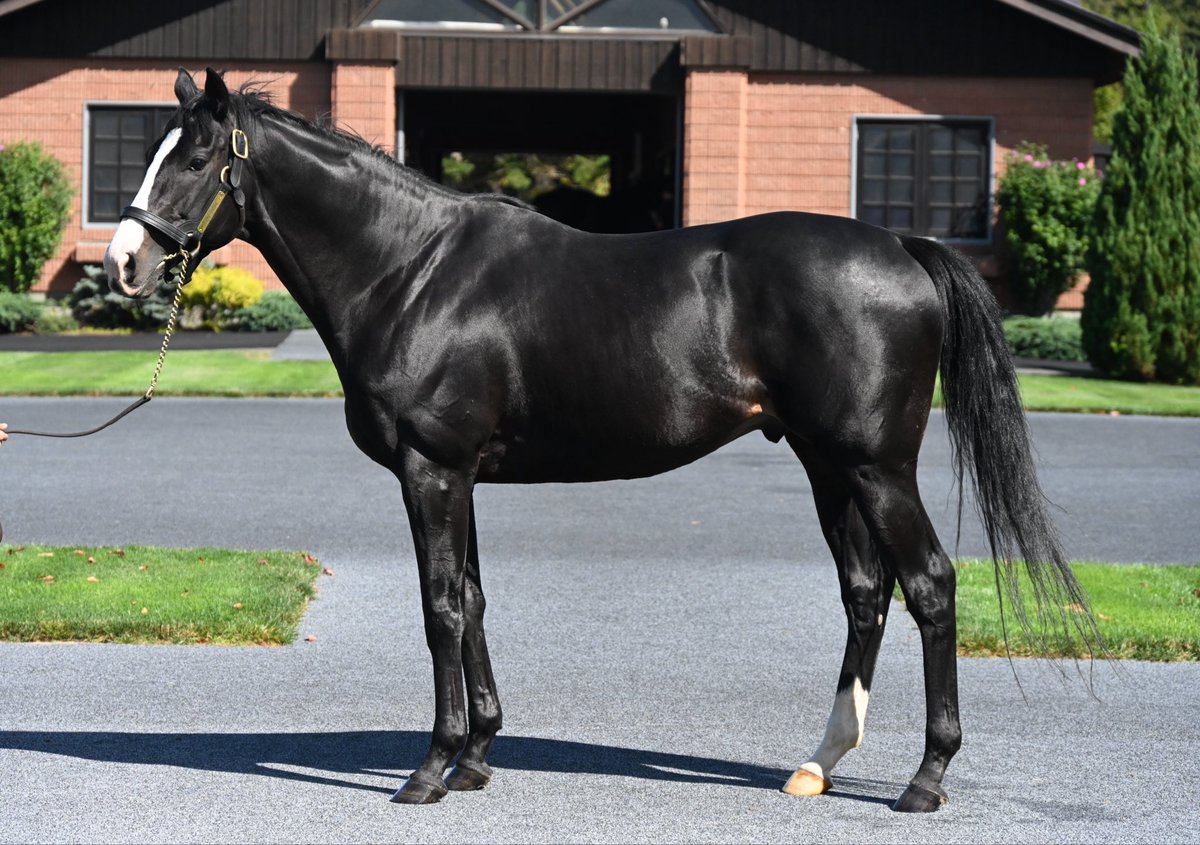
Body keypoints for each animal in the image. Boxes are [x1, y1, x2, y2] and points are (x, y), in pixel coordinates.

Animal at [103, 68, 1098, 812]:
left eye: (197, 156)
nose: (124, 263)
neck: (413, 270)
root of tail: (899, 246)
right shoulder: (461, 475)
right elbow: (473, 600)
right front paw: (477, 755)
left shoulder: (432, 470)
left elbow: (440, 609)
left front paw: (429, 769)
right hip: (829, 464)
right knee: (866, 593)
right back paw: (820, 763)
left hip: (875, 465)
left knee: (929, 585)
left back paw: (925, 778)